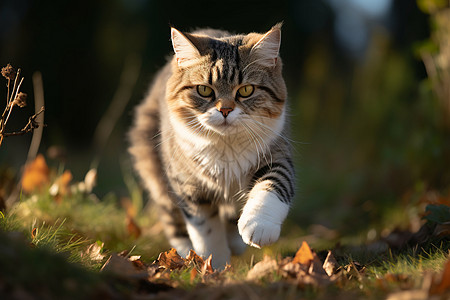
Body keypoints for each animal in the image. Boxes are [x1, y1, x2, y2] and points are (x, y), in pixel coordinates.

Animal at [127, 22, 296, 268]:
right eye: (204, 90)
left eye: (246, 90)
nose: (225, 110)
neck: (225, 146)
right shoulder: (189, 186)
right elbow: (205, 229)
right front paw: (213, 265)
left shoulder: (276, 152)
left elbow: (274, 183)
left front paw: (258, 226)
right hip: (155, 170)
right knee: (172, 218)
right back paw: (185, 252)